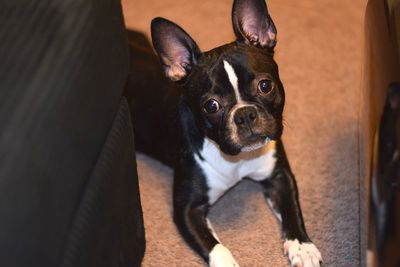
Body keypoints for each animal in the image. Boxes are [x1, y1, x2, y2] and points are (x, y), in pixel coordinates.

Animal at [126, 0, 324, 266]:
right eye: (211, 106)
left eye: (265, 85)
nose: (244, 114)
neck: (237, 160)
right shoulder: (187, 209)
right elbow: (214, 246)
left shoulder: (279, 176)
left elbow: (292, 210)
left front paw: (302, 246)